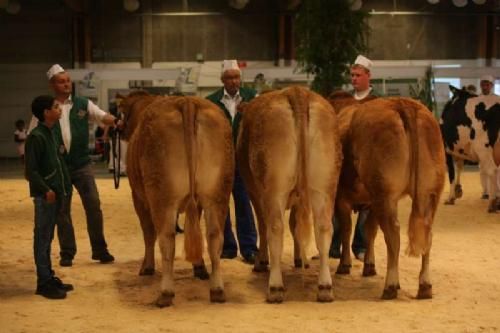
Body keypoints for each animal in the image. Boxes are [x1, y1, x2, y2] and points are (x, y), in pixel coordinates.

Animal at [119, 91, 234, 306]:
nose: (119, 128)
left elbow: (148, 233)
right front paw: (199, 268)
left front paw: (146, 267)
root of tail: (187, 101)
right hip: (218, 192)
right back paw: (217, 290)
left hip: (161, 196)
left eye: (122, 112)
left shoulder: (138, 198)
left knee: (166, 239)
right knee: (214, 237)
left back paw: (165, 293)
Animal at [236, 86, 342, 304]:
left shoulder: (255, 193)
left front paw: (261, 261)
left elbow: (264, 226)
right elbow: (296, 225)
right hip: (324, 186)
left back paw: (275, 287)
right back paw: (325, 287)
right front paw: (299, 259)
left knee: (275, 227)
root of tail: (297, 91)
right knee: (323, 227)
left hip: (275, 189)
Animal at [328, 92, 446, 298]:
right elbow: (370, 231)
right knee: (427, 233)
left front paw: (345, 264)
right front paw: (369, 265)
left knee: (393, 234)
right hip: (429, 191)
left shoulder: (343, 198)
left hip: (385, 192)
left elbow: (347, 229)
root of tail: (401, 102)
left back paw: (391, 285)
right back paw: (425, 286)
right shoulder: (371, 202)